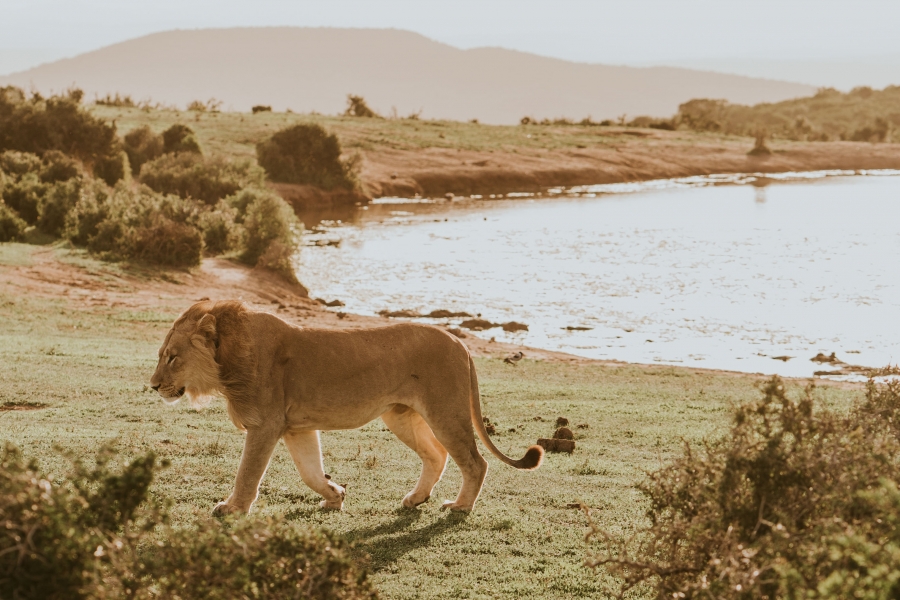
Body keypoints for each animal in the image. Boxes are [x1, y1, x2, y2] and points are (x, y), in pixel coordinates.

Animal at [149, 302, 540, 512]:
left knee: (475, 461)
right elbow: (310, 471)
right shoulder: (296, 427)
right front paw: (335, 496)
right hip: (399, 415)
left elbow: (247, 473)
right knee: (436, 454)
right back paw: (416, 498)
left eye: (172, 357)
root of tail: (461, 344)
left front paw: (231, 509)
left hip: (445, 412)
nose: (153, 386)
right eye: (162, 355)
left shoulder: (265, 425)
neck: (227, 358)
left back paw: (460, 506)